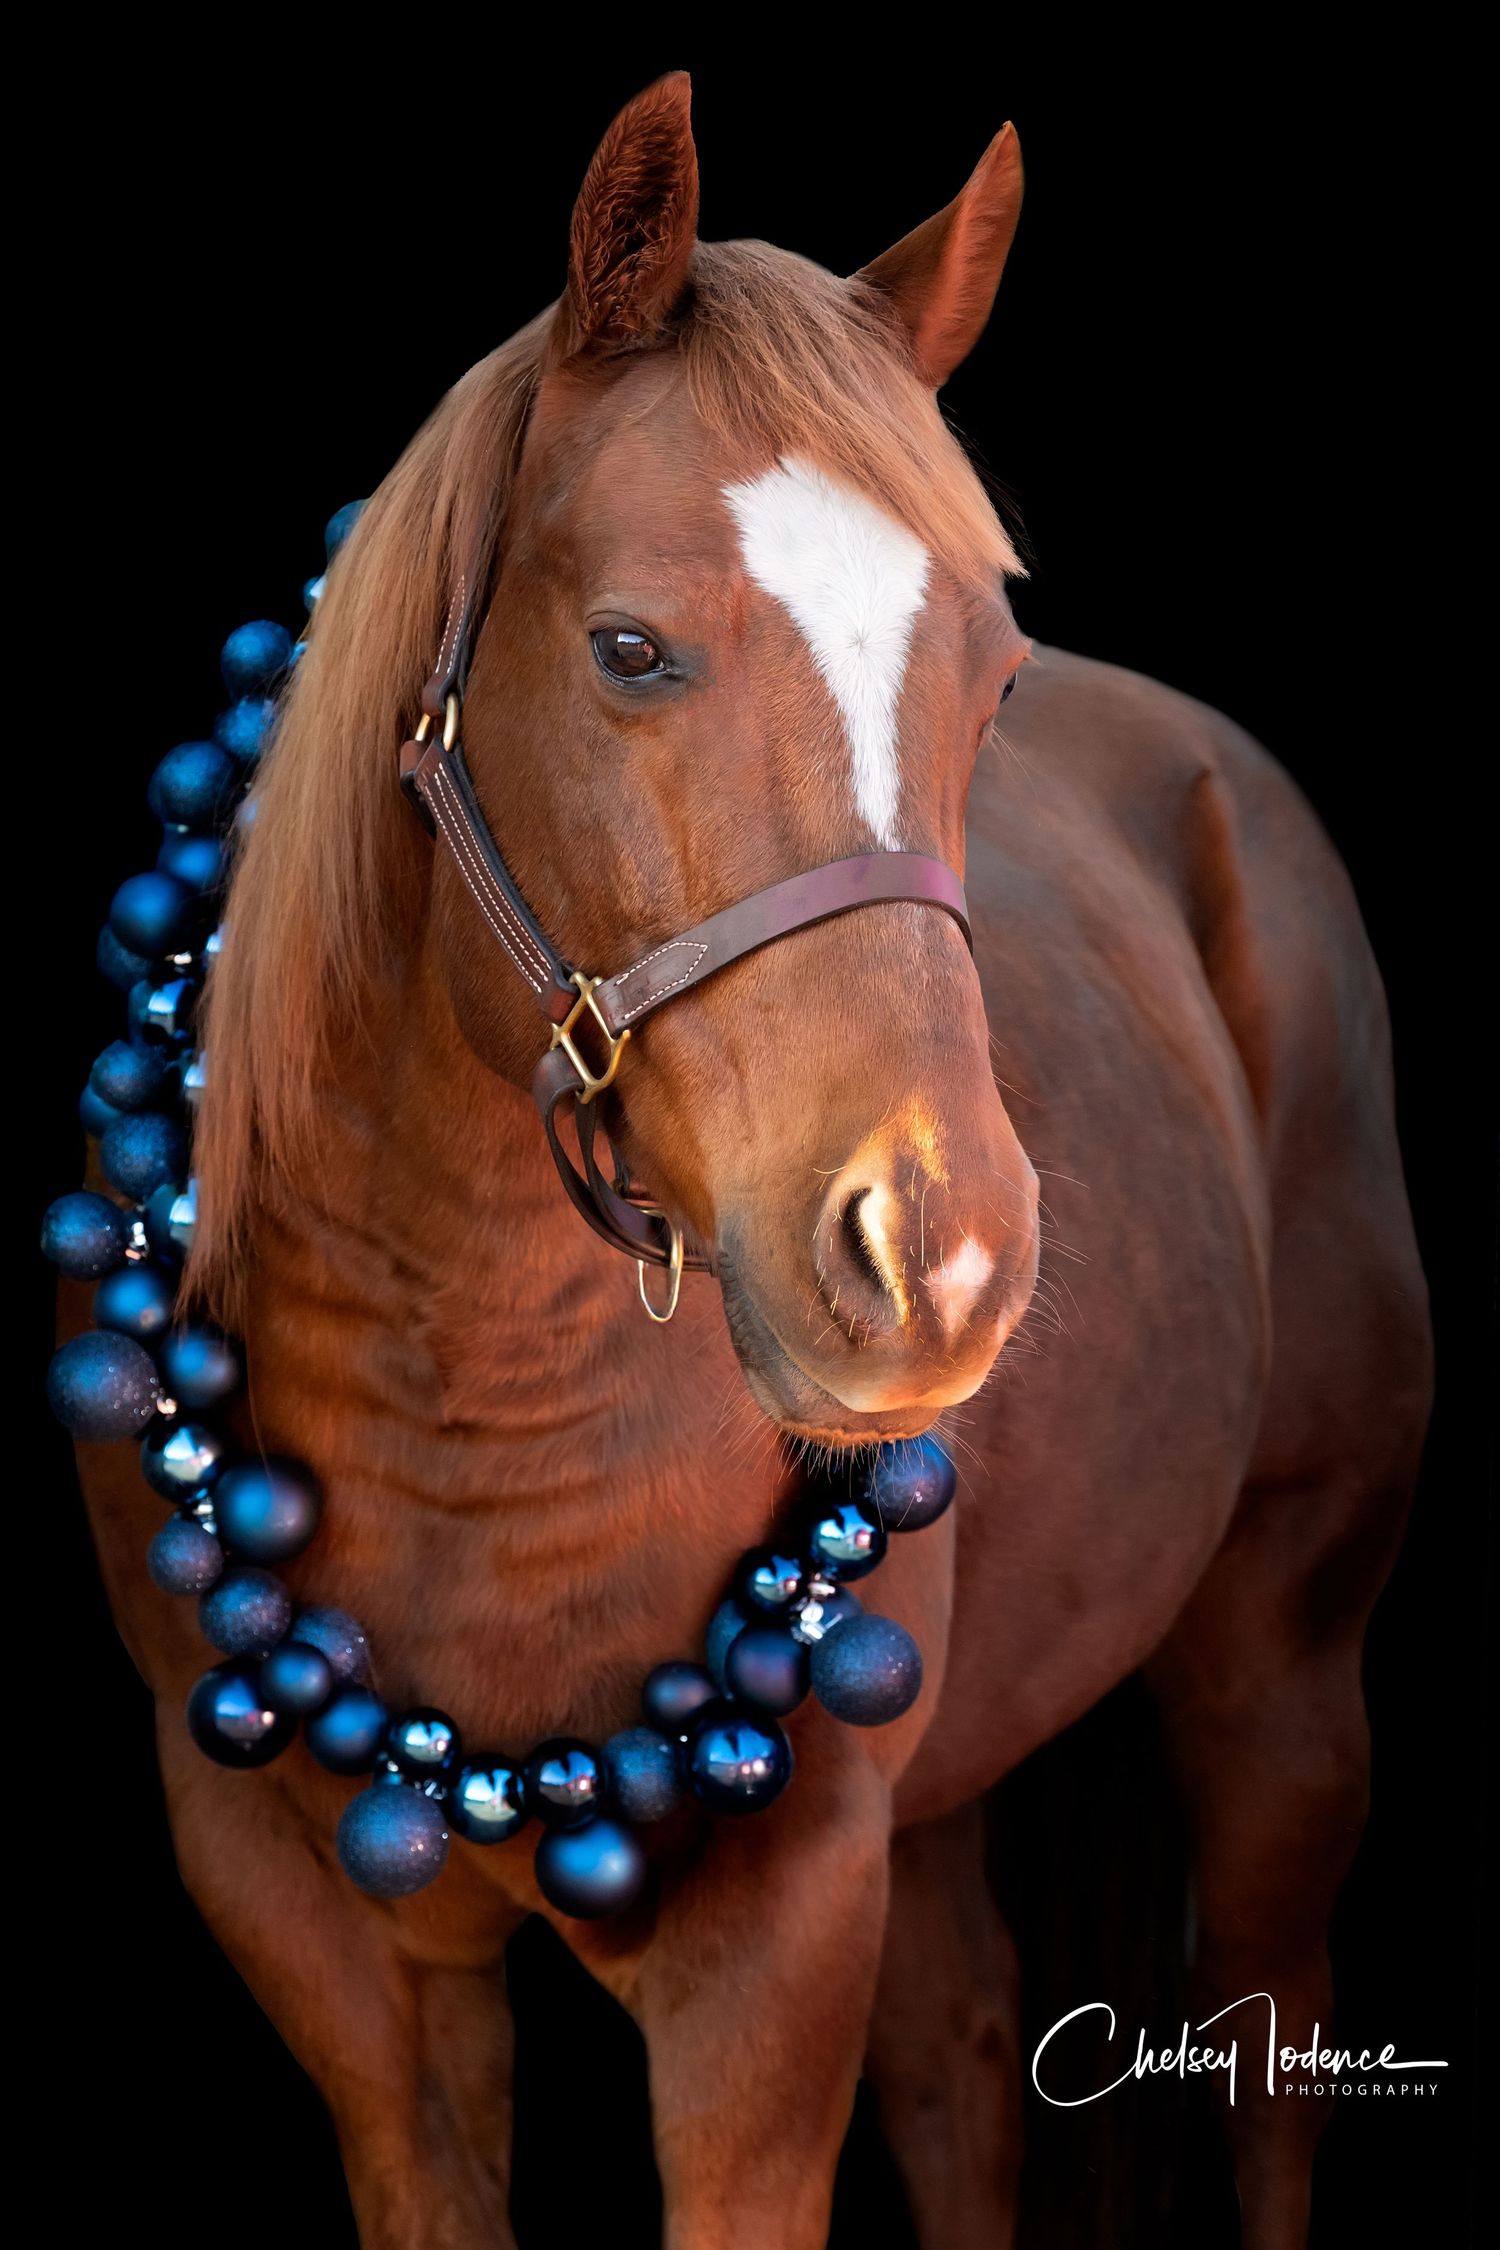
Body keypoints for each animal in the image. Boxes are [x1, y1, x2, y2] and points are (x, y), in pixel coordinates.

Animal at [67, 71, 1432, 2250]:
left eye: (994, 675)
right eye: (629, 648)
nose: (936, 1256)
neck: (455, 1361)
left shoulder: (775, 1943)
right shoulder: (322, 1940)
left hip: (1283, 1664)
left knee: (1272, 2041)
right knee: (964, 2064)